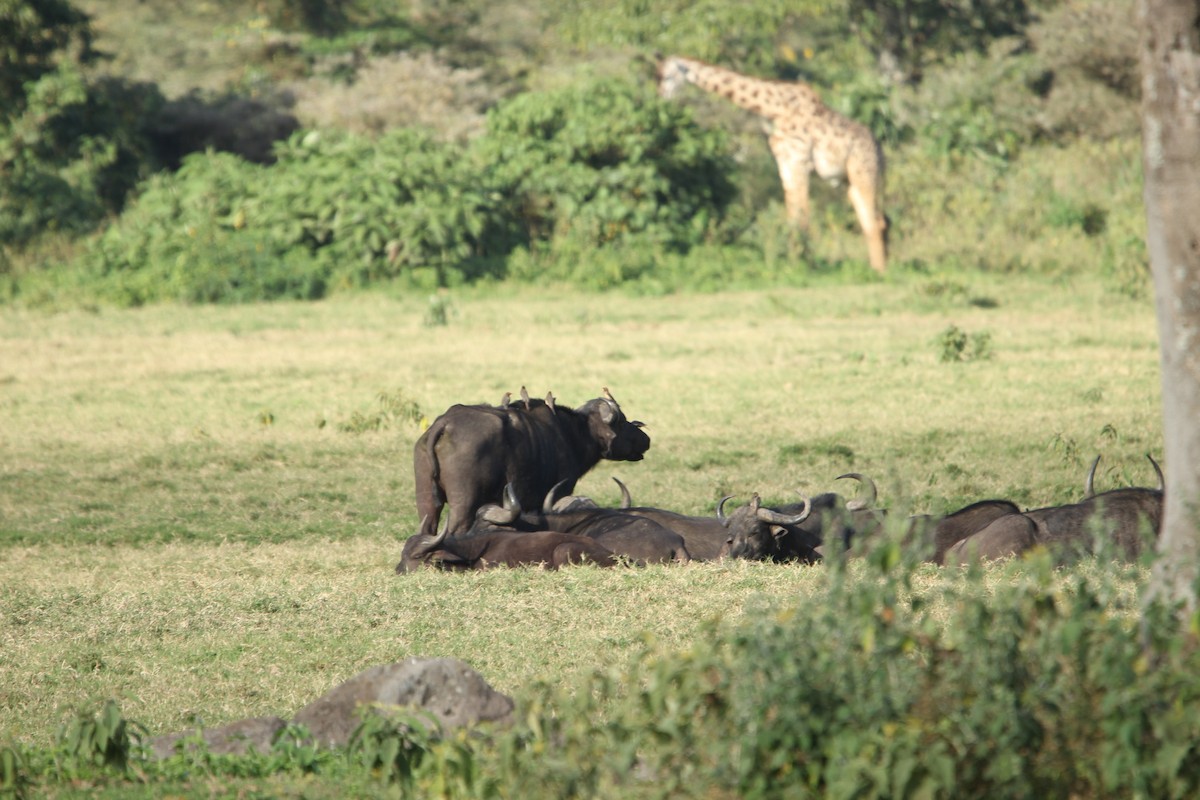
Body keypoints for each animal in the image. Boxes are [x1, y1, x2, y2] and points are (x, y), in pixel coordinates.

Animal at [417, 388, 652, 537]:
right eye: (621, 421)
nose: (646, 438)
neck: (573, 433)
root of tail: (446, 423)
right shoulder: (560, 490)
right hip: (463, 503)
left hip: (427, 501)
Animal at [662, 53, 888, 272]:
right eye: (659, 75)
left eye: (667, 76)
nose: (662, 97)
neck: (774, 108)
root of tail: (880, 150)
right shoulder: (785, 163)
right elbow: (792, 216)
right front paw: (793, 262)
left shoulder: (799, 161)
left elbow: (802, 217)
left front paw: (804, 265)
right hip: (849, 182)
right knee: (876, 220)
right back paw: (878, 266)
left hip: (863, 174)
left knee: (875, 221)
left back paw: (880, 271)